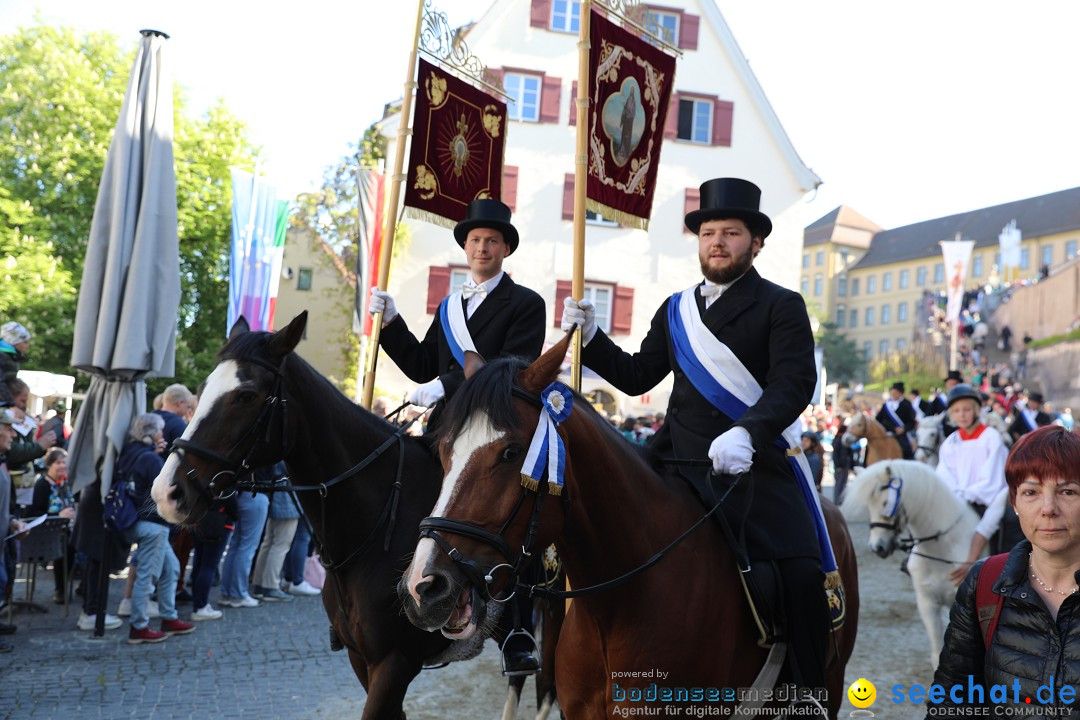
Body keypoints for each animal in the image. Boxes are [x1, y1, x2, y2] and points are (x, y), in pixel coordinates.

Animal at [842, 462, 980, 669]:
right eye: (868, 507)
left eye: (886, 504)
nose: (877, 548)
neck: (942, 548)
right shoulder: (927, 603)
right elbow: (937, 655)